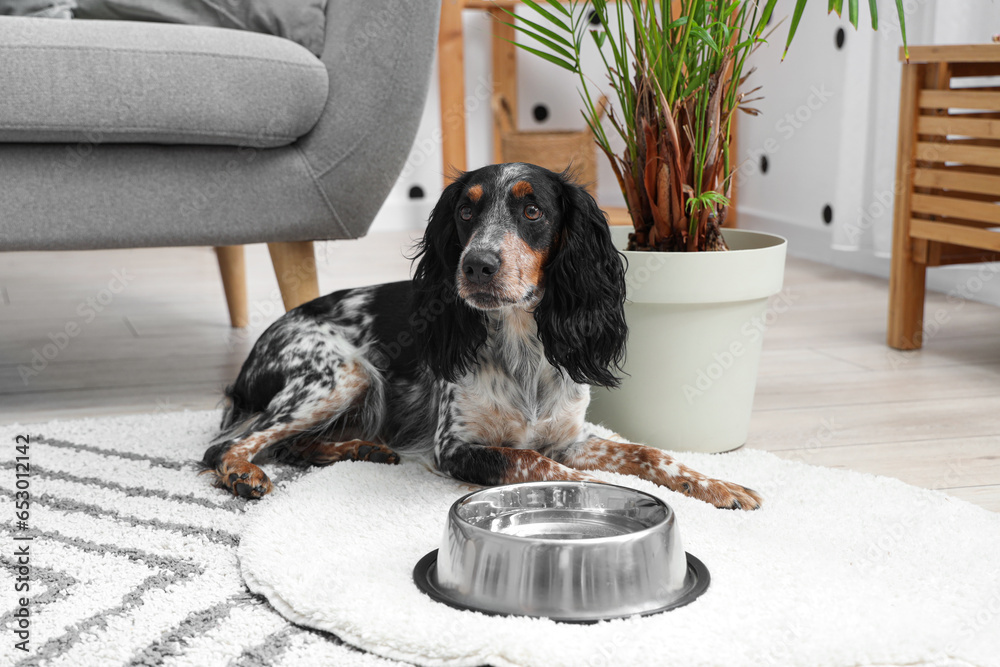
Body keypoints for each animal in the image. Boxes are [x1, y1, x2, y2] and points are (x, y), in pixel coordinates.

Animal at [205, 162, 764, 512]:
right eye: (466, 211)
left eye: (533, 210)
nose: (477, 264)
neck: (523, 348)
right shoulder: (457, 447)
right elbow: (539, 465)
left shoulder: (570, 439)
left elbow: (649, 453)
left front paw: (717, 485)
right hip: (344, 373)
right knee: (227, 446)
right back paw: (243, 473)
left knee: (291, 447)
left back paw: (365, 449)